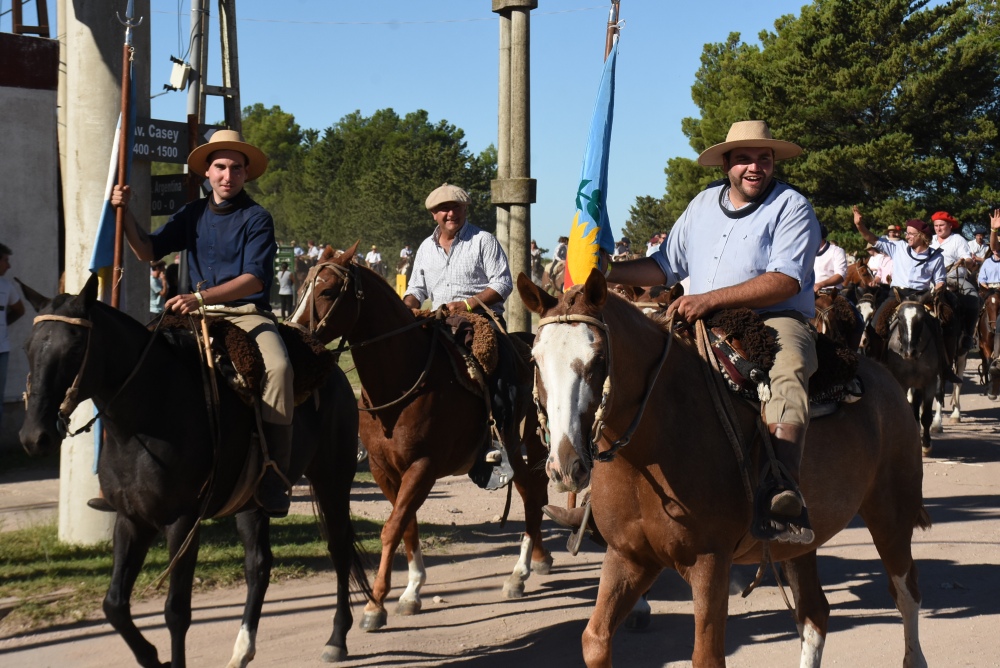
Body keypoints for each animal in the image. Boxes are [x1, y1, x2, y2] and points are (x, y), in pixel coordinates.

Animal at [19, 274, 372, 664]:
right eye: (28, 348)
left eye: (75, 347)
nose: (35, 436)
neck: (146, 415)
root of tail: (334, 370)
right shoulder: (132, 520)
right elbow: (114, 605)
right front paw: (151, 657)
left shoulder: (182, 522)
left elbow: (176, 612)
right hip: (251, 502)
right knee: (258, 564)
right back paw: (242, 650)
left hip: (332, 480)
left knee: (339, 550)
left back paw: (337, 638)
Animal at [290, 244, 556, 632]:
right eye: (301, 287)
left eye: (327, 291)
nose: (295, 341)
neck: (403, 379)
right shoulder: (384, 469)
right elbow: (407, 525)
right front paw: (411, 591)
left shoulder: (423, 467)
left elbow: (391, 528)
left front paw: (375, 605)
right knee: (532, 492)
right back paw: (538, 558)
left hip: (516, 443)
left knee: (530, 494)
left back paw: (520, 572)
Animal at [516, 270, 928, 668]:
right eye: (534, 360)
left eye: (598, 359)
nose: (565, 465)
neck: (651, 449)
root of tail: (883, 378)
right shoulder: (627, 557)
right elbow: (595, 641)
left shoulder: (709, 563)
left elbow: (707, 656)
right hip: (799, 543)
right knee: (815, 615)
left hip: (890, 515)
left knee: (906, 593)